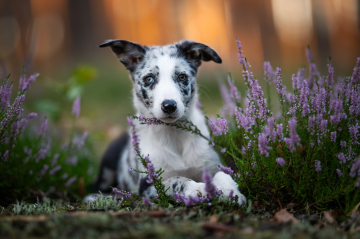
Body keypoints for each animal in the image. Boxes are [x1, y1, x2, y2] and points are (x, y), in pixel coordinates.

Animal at [87, 40, 245, 204]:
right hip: (108, 162)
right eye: (149, 79)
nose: (169, 106)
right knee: (97, 188)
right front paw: (198, 188)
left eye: (182, 77)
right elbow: (176, 180)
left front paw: (231, 192)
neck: (174, 134)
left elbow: (223, 173)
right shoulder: (148, 185)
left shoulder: (213, 165)